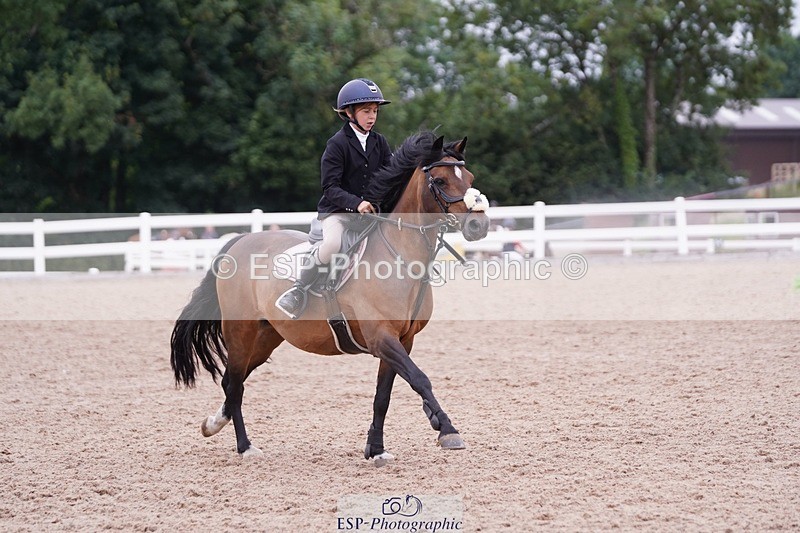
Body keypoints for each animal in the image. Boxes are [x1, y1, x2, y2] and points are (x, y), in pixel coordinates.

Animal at [170, 131, 490, 463]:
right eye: (439, 181)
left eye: (469, 178)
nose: (478, 225)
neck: (400, 257)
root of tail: (241, 240)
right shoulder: (381, 337)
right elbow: (419, 379)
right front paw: (447, 429)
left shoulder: (401, 340)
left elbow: (383, 396)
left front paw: (376, 449)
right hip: (240, 332)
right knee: (234, 385)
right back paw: (245, 446)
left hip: (266, 336)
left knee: (231, 380)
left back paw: (212, 424)